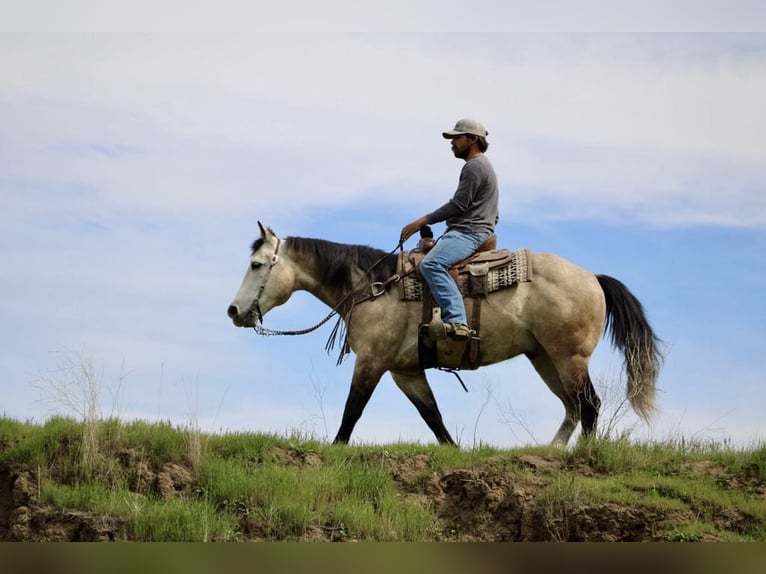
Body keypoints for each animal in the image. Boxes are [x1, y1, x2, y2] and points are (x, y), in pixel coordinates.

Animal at [227, 222, 662, 447]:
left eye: (256, 264)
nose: (233, 311)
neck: (373, 286)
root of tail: (593, 278)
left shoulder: (372, 362)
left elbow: (353, 411)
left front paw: (335, 451)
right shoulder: (406, 371)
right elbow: (432, 416)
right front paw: (454, 451)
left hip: (569, 357)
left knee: (589, 405)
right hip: (545, 358)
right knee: (572, 407)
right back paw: (552, 452)